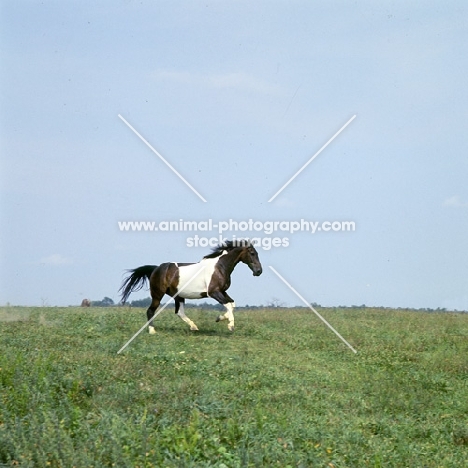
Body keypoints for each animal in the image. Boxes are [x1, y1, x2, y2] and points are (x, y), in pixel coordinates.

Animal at [119, 241, 262, 332]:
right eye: (252, 253)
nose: (259, 271)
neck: (219, 267)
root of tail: (156, 269)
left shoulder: (223, 291)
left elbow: (232, 304)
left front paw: (220, 318)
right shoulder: (214, 292)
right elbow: (228, 305)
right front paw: (230, 325)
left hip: (178, 295)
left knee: (179, 312)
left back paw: (194, 327)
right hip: (157, 295)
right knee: (150, 311)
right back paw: (152, 331)